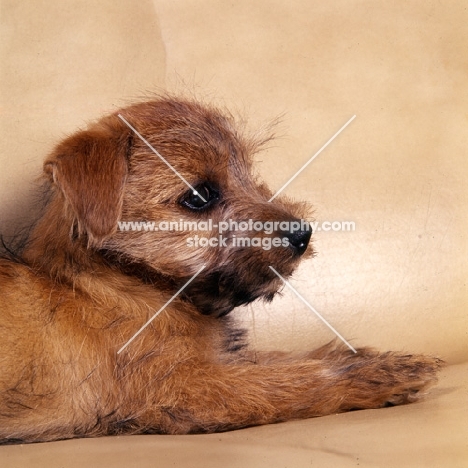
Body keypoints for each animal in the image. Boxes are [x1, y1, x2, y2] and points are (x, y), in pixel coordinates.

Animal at [0, 96, 440, 442]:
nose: (302, 233)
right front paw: (378, 375)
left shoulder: (219, 363)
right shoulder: (187, 388)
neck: (130, 281)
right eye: (200, 196)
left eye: (249, 174)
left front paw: (366, 356)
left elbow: (282, 358)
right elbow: (289, 382)